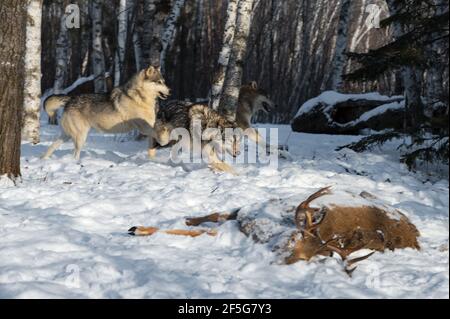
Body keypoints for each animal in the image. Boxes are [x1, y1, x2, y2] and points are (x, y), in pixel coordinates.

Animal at [42, 65, 171, 160]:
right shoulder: (143, 127)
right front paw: (165, 139)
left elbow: (152, 146)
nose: (170, 91)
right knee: (74, 154)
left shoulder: (149, 126)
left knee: (51, 147)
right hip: (80, 137)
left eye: (164, 82)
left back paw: (44, 159)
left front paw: (151, 160)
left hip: (66, 136)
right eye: (159, 82)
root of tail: (70, 98)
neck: (139, 98)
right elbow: (157, 134)